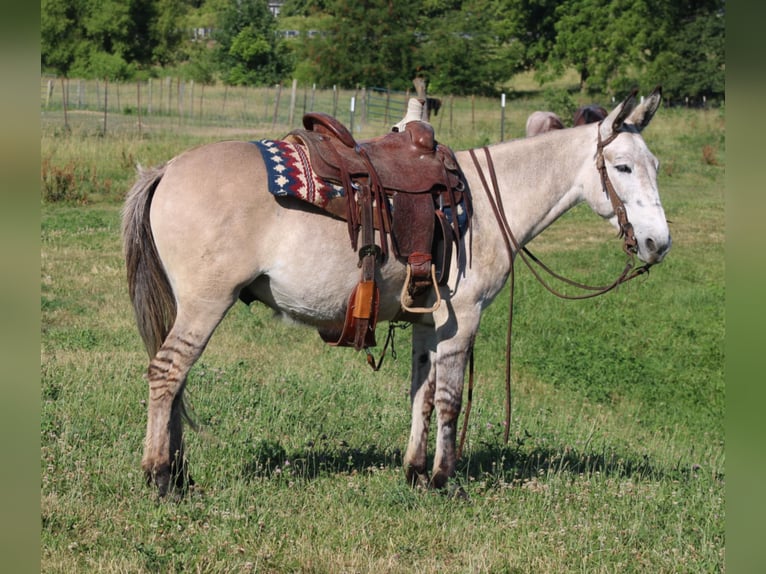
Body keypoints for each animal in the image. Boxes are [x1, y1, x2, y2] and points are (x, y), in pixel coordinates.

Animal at [122, 87, 671, 498]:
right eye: (622, 167)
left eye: (657, 165)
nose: (657, 243)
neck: (487, 205)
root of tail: (167, 170)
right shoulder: (463, 322)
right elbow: (449, 400)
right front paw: (444, 480)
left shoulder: (430, 324)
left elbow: (420, 396)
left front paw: (414, 472)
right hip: (205, 303)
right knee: (167, 373)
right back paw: (160, 478)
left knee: (177, 379)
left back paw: (179, 473)